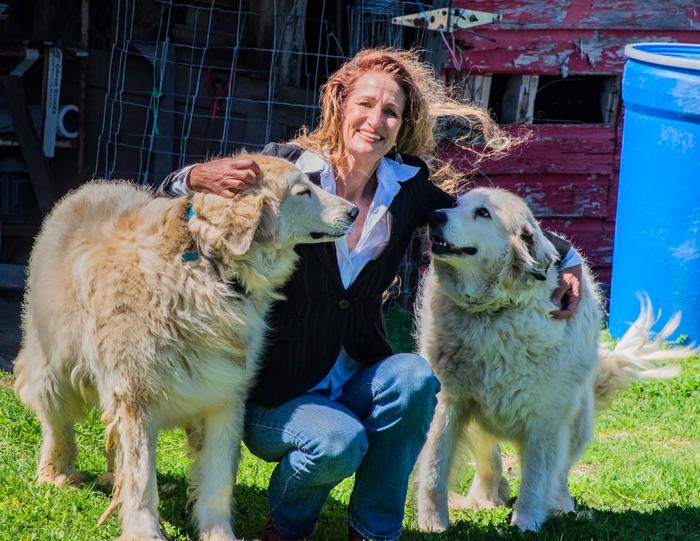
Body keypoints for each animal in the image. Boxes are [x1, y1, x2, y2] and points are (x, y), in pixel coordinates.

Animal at [13, 155, 358, 540]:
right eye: (303, 191)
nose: (354, 211)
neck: (212, 271)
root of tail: (90, 188)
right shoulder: (136, 397)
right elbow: (141, 478)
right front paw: (144, 531)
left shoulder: (225, 398)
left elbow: (217, 482)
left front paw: (219, 534)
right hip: (54, 367)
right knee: (56, 422)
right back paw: (55, 473)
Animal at [412, 187, 692, 532]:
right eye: (454, 205)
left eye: (483, 213)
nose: (434, 216)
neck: (495, 311)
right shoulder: (448, 403)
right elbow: (434, 471)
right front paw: (432, 524)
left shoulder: (545, 416)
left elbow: (536, 477)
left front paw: (526, 523)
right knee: (490, 459)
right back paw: (484, 498)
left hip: (575, 423)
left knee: (558, 473)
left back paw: (561, 506)